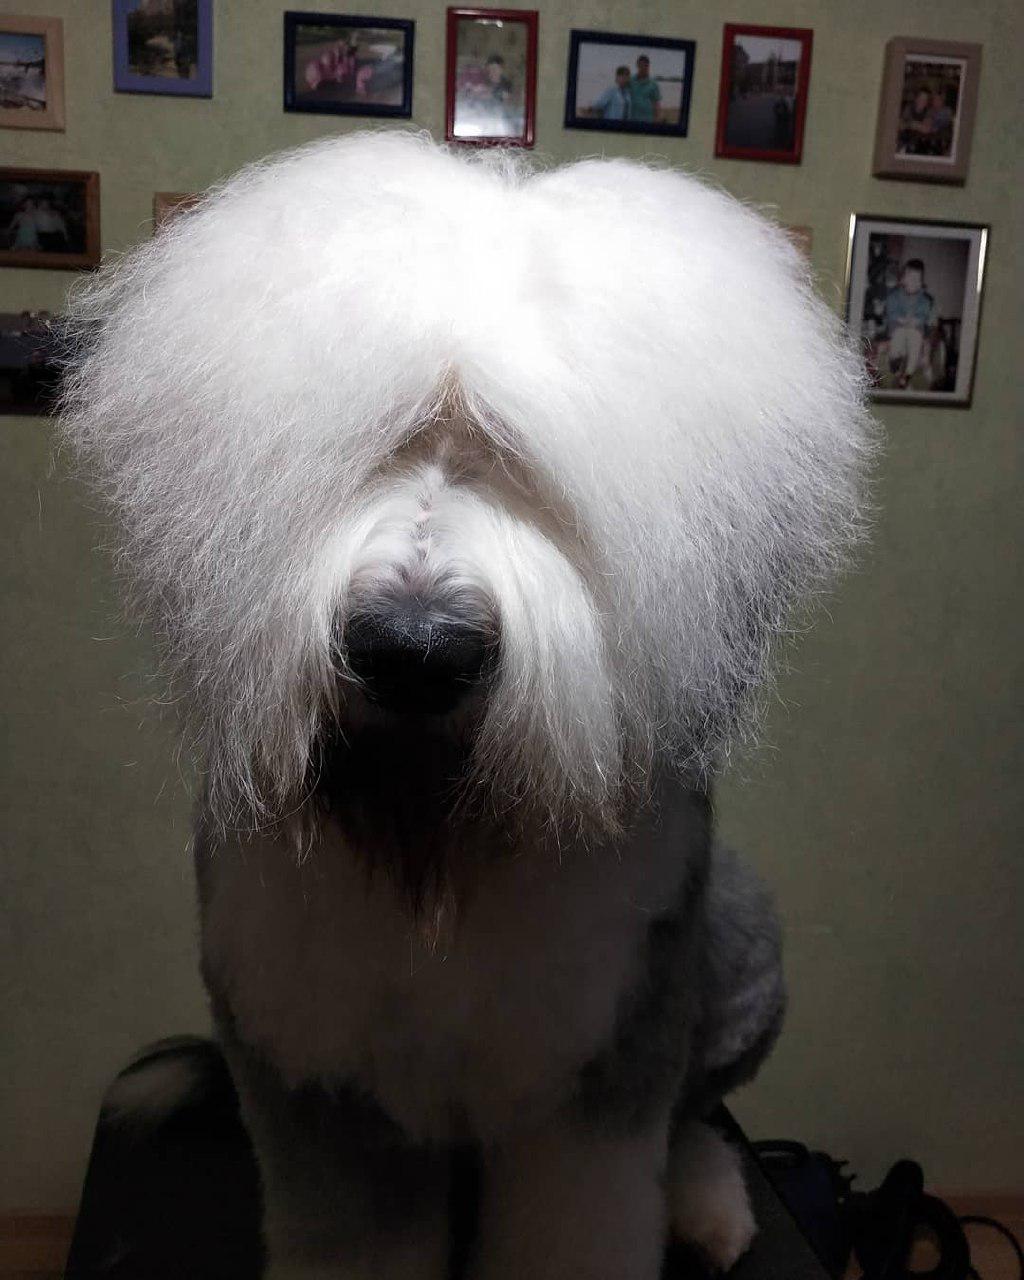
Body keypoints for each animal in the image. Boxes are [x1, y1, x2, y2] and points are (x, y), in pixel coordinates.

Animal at [57, 135, 870, 1274]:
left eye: (525, 465)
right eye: (373, 444)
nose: (413, 650)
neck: (437, 852)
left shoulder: (600, 1059)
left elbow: (586, 1211)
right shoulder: (308, 1067)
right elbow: (354, 1236)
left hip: (740, 948)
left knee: (696, 1114)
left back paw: (710, 1207)